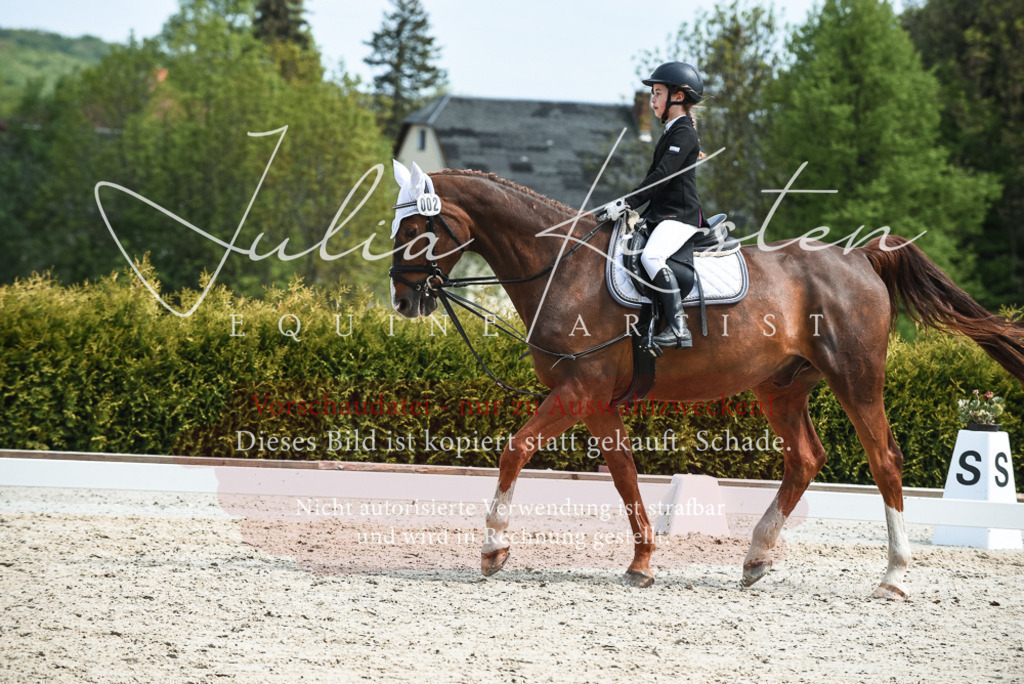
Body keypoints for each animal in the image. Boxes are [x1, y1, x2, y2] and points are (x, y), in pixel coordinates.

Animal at [388, 162, 1024, 598]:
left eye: (418, 228)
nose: (402, 300)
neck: (563, 270)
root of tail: (861, 257)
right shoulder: (595, 401)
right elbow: (624, 474)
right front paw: (642, 563)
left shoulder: (577, 392)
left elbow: (514, 450)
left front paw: (494, 547)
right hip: (780, 386)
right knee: (805, 458)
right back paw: (757, 558)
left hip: (856, 378)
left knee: (884, 459)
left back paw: (893, 577)